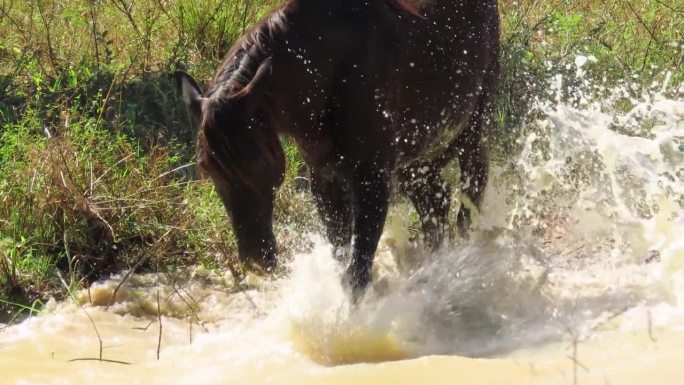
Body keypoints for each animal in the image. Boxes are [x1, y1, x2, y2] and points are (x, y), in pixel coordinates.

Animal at [174, 0, 500, 294]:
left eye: (256, 163)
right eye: (209, 170)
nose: (256, 260)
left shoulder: (371, 178)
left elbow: (356, 274)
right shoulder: (326, 177)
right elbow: (342, 257)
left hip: (473, 129)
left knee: (468, 204)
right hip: (412, 157)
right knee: (437, 203)